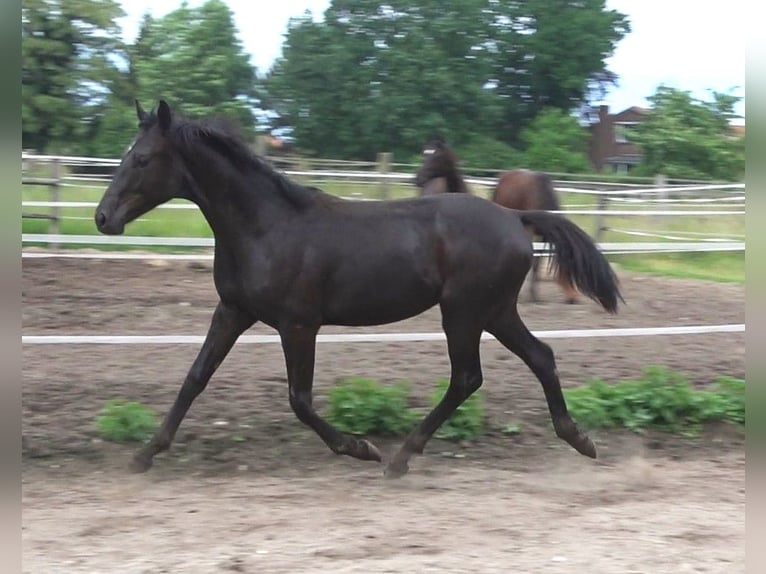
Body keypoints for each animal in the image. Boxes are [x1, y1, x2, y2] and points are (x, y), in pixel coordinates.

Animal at [496, 169, 580, 306]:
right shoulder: (530, 232)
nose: (574, 299)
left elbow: (537, 264)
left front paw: (535, 296)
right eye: (567, 273)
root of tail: (506, 174)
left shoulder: (543, 236)